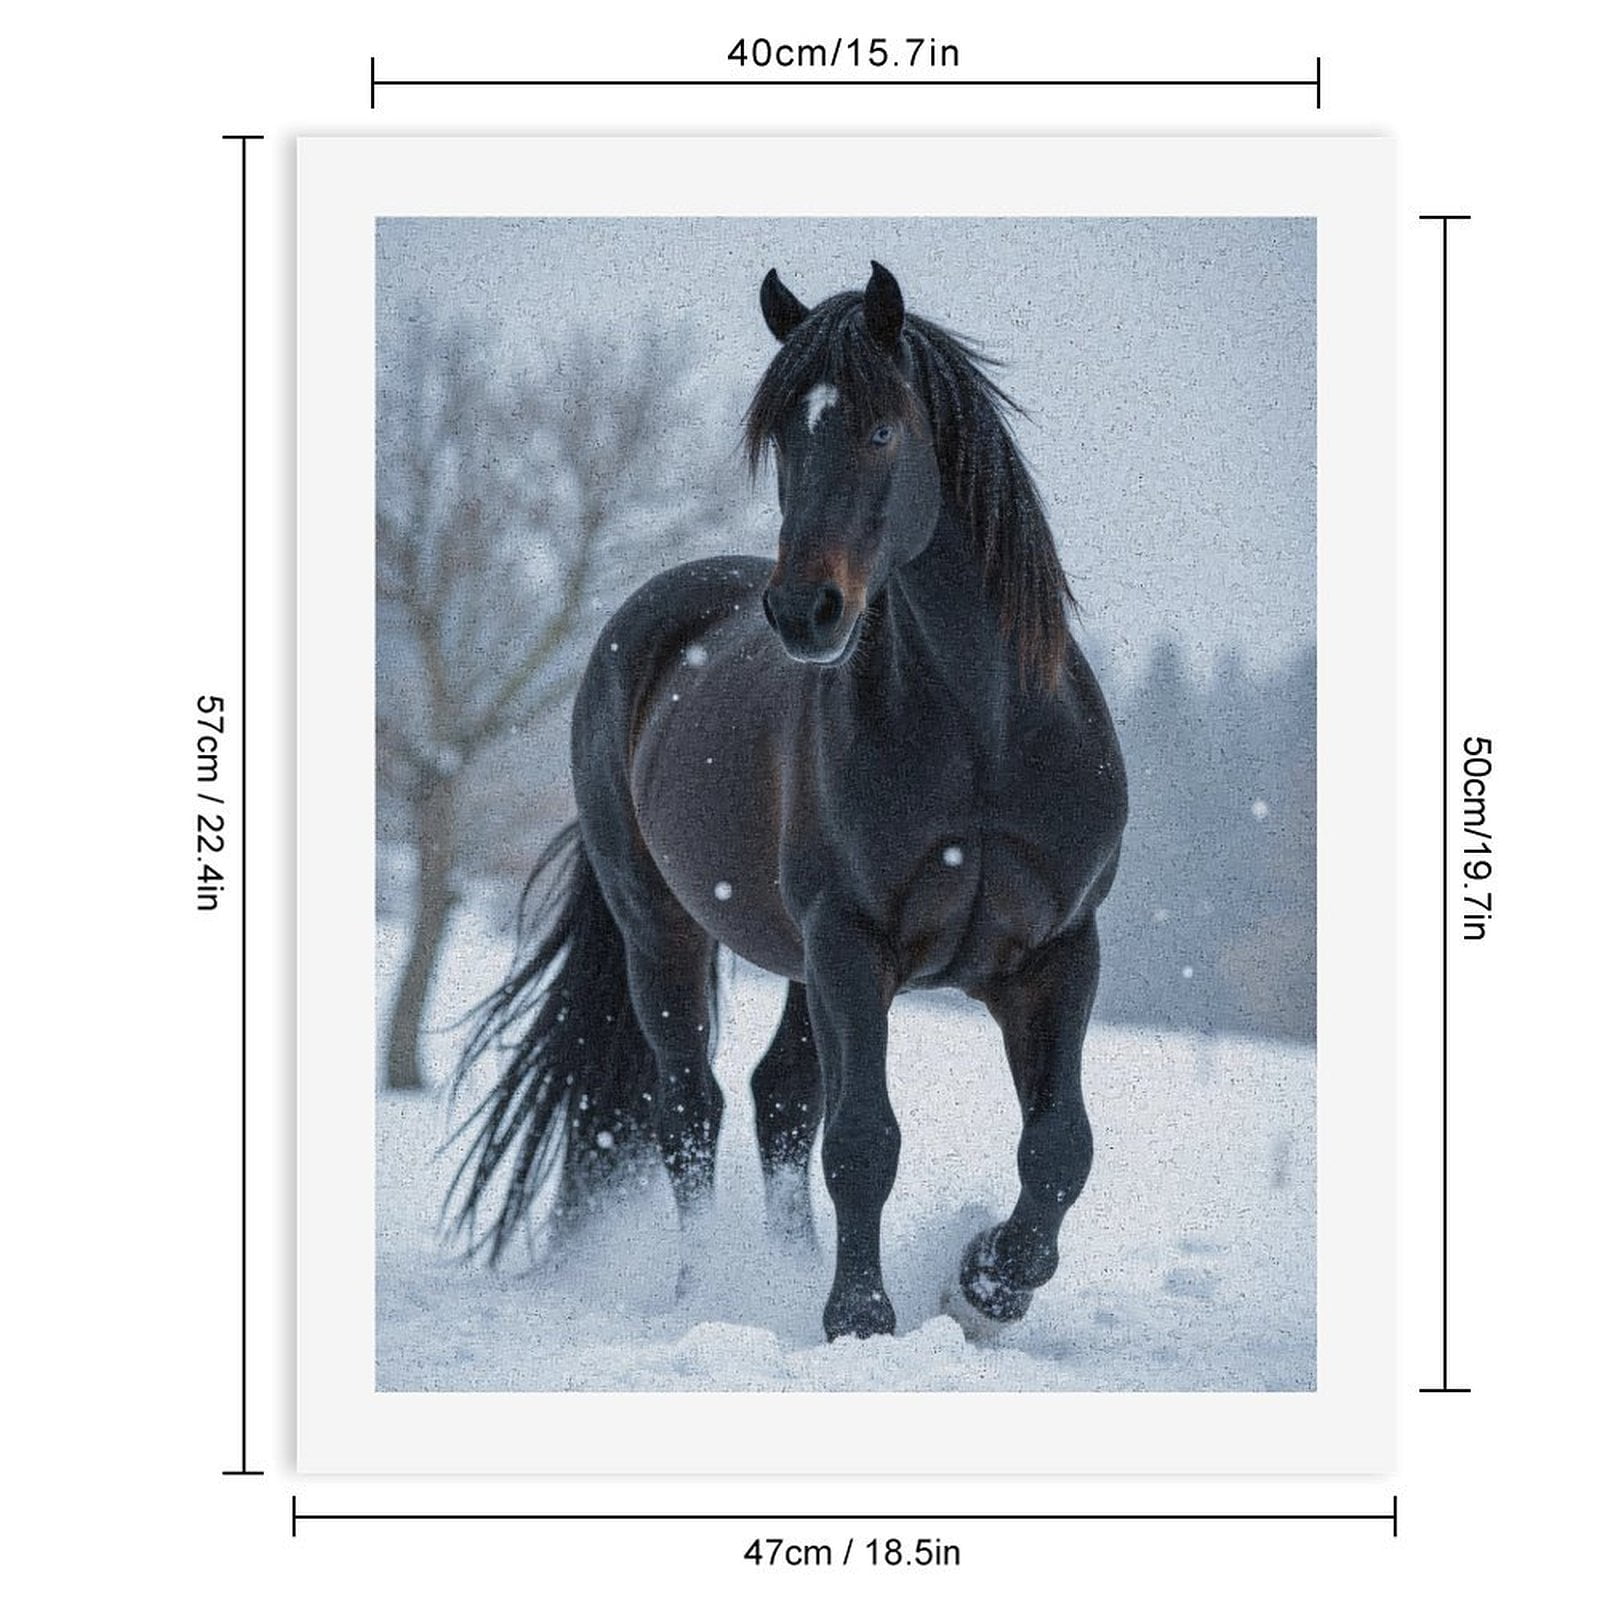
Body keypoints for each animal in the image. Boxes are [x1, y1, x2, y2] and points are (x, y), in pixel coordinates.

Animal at [446, 262, 1128, 1342]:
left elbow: (1059, 1148)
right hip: (667, 935)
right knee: (693, 1107)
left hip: (807, 966)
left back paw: (787, 1266)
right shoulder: (852, 942)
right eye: (783, 440)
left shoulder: (1056, 952)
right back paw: (706, 1289)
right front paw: (861, 1316)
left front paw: (985, 1283)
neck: (984, 733)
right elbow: (864, 1140)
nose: (804, 612)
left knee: (778, 1101)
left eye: (882, 429)